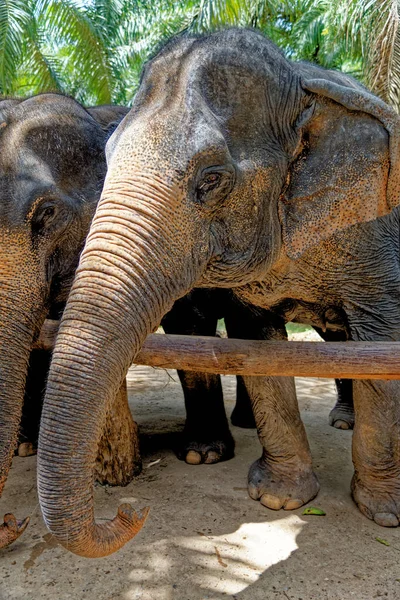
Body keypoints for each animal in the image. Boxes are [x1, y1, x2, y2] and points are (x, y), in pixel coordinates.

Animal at [35, 25, 400, 556]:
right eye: (105, 157)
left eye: (211, 180)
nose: (131, 509)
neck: (299, 87)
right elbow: (258, 344)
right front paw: (278, 498)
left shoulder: (378, 238)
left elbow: (381, 346)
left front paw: (383, 513)